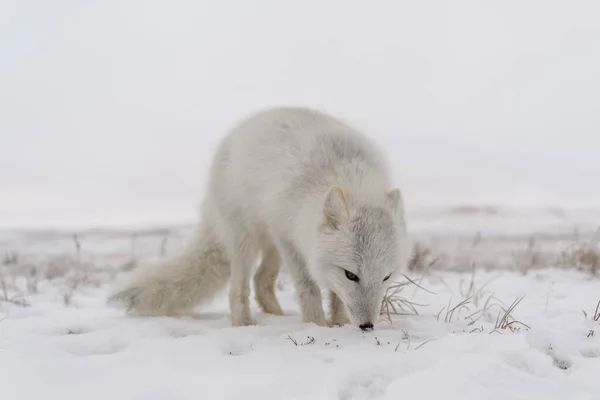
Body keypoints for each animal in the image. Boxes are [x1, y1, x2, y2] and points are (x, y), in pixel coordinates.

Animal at [108, 107, 410, 332]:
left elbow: (335, 295)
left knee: (261, 281)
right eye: (351, 275)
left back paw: (277, 316)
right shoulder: (289, 239)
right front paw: (316, 325)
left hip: (270, 245)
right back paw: (244, 324)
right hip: (248, 241)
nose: (368, 326)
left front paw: (339, 323)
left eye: (386, 277)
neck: (345, 176)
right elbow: (309, 287)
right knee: (240, 287)